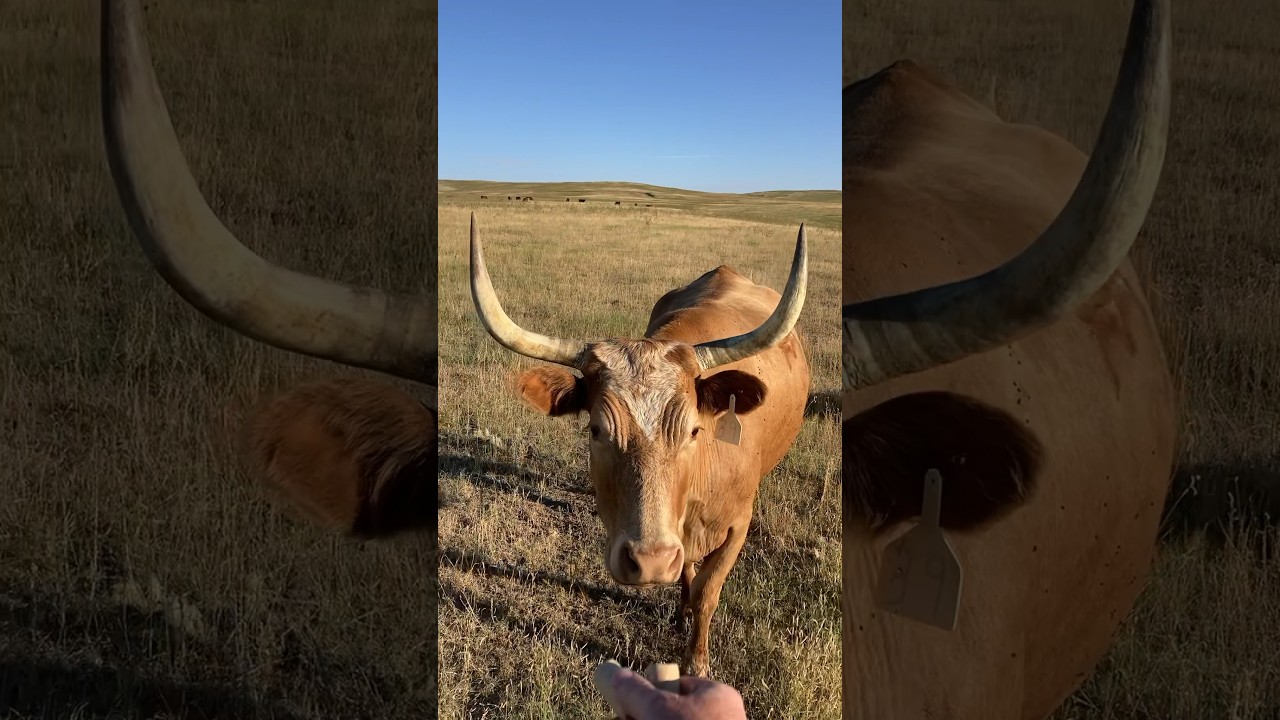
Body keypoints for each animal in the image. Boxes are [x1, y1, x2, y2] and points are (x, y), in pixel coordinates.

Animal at [469, 213, 812, 677]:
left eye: (693, 431)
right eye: (596, 429)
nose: (650, 561)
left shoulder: (738, 527)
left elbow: (707, 593)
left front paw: (696, 662)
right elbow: (689, 574)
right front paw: (680, 611)